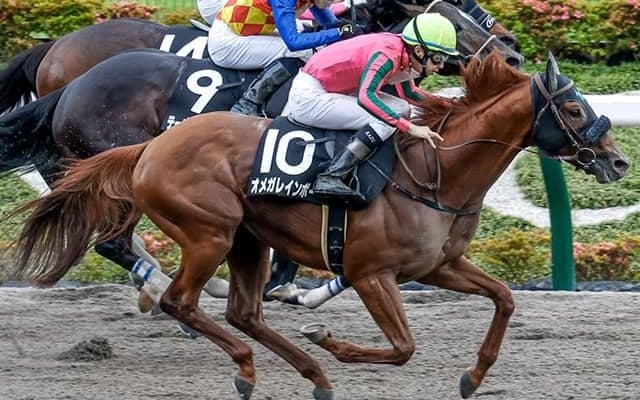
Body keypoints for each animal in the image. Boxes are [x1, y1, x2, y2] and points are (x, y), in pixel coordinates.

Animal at [0, 0, 522, 306]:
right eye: (458, 14)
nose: (513, 53)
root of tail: (67, 78)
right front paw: (283, 280)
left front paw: (288, 281)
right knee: (111, 239)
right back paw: (172, 287)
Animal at [6, 52, 629, 399]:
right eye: (574, 109)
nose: (619, 161)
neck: (438, 172)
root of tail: (149, 147)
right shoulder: (372, 272)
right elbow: (402, 347)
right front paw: (328, 337)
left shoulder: (440, 265)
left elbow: (504, 298)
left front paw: (473, 377)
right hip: (211, 231)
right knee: (182, 300)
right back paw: (253, 364)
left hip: (246, 239)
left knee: (244, 312)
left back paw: (309, 375)